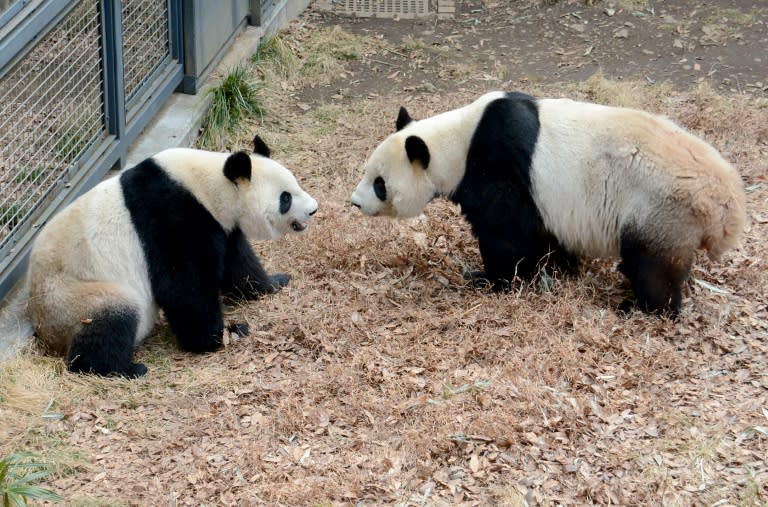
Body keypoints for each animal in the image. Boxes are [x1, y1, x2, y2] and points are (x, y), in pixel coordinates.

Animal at [27, 135, 316, 378]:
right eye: (285, 198)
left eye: (296, 185)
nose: (314, 209)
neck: (209, 184)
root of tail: (47, 335)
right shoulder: (172, 217)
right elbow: (184, 286)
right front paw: (217, 336)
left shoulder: (221, 225)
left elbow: (238, 263)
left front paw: (274, 283)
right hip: (72, 296)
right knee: (112, 318)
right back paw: (121, 369)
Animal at [352, 91, 748, 314]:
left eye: (379, 184)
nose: (355, 202)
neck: (457, 141)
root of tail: (726, 204)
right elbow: (544, 233)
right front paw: (561, 266)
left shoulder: (498, 164)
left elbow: (507, 233)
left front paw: (488, 279)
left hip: (661, 208)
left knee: (653, 265)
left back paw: (640, 307)